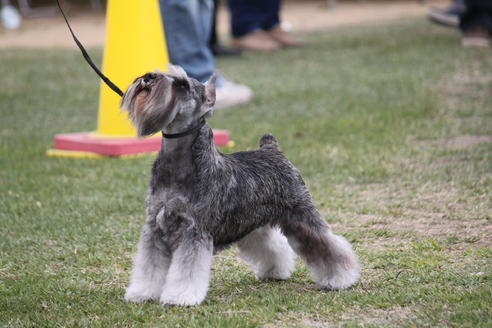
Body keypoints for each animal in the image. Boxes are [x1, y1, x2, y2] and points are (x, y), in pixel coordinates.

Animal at [119, 65, 358, 306]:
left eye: (183, 85)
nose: (148, 77)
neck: (177, 163)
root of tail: (271, 148)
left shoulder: (194, 232)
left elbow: (187, 271)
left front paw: (181, 297)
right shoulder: (154, 228)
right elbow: (149, 266)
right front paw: (142, 292)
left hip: (302, 216)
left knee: (329, 245)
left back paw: (341, 278)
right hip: (252, 223)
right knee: (273, 246)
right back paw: (274, 271)